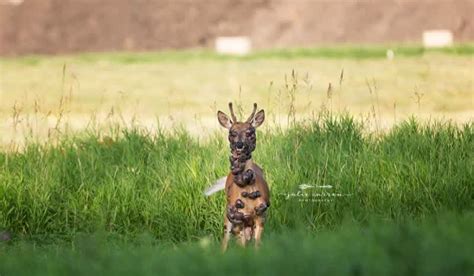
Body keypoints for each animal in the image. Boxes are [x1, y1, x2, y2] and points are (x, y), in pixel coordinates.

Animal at [205, 102, 270, 251]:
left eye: (250, 132)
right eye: (232, 133)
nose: (239, 145)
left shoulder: (261, 217)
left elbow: (257, 246)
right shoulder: (239, 219)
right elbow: (242, 246)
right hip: (228, 217)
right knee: (224, 241)